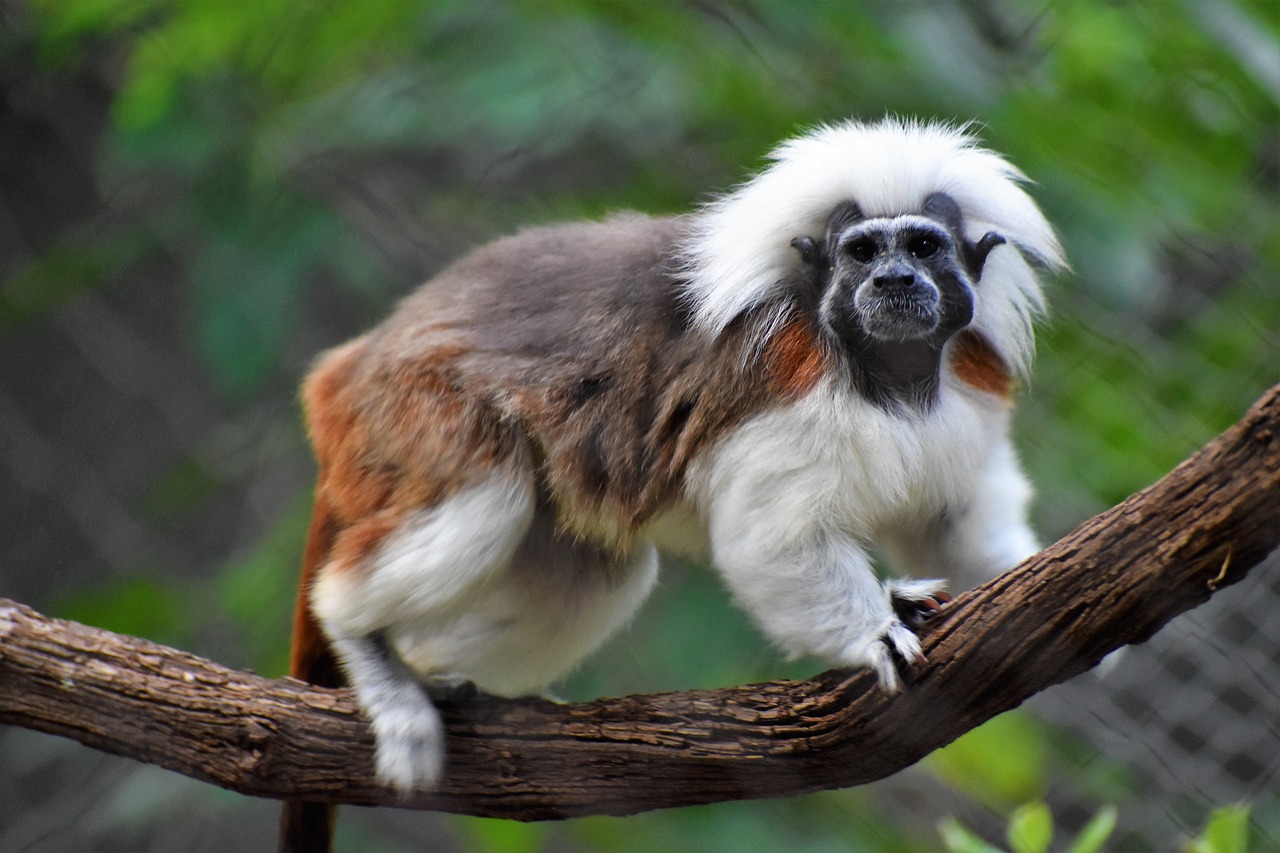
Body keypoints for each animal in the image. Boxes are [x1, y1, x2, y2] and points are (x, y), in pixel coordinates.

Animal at [282, 116, 1070, 845]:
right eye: (863, 252)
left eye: (925, 247)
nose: (895, 281)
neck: (888, 376)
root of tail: (354, 361)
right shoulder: (784, 386)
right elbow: (771, 542)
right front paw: (872, 632)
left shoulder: (968, 385)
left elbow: (954, 528)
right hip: (415, 410)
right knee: (484, 501)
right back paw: (364, 642)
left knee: (589, 577)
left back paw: (430, 673)